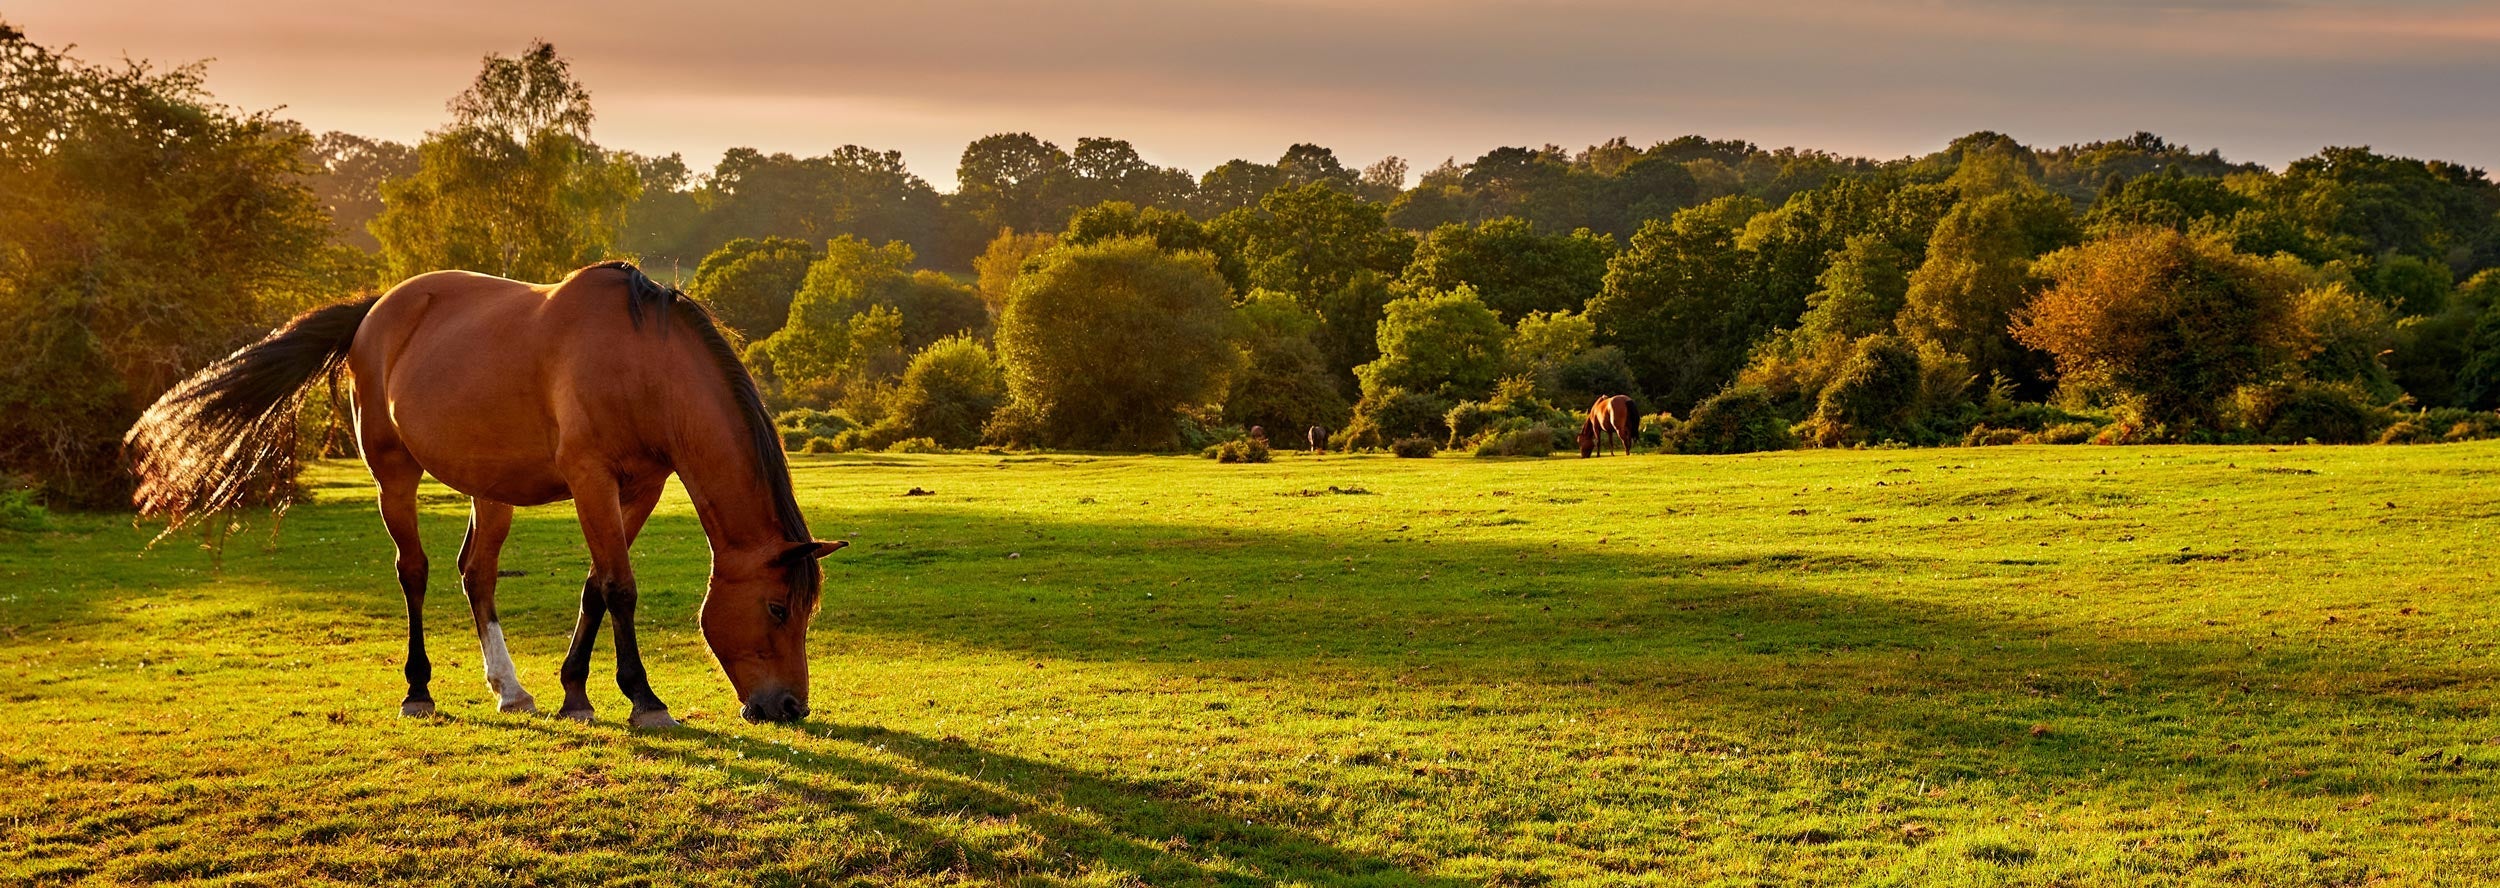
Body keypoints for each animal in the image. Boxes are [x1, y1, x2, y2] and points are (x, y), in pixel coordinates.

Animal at [124, 263, 850, 730]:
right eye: (779, 608)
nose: (790, 708)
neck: (643, 365)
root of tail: (376, 309)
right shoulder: (590, 480)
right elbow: (620, 587)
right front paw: (644, 701)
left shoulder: (640, 487)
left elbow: (595, 585)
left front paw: (575, 694)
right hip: (394, 475)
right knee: (414, 572)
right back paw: (418, 690)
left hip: (489, 489)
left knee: (477, 574)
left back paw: (510, 690)